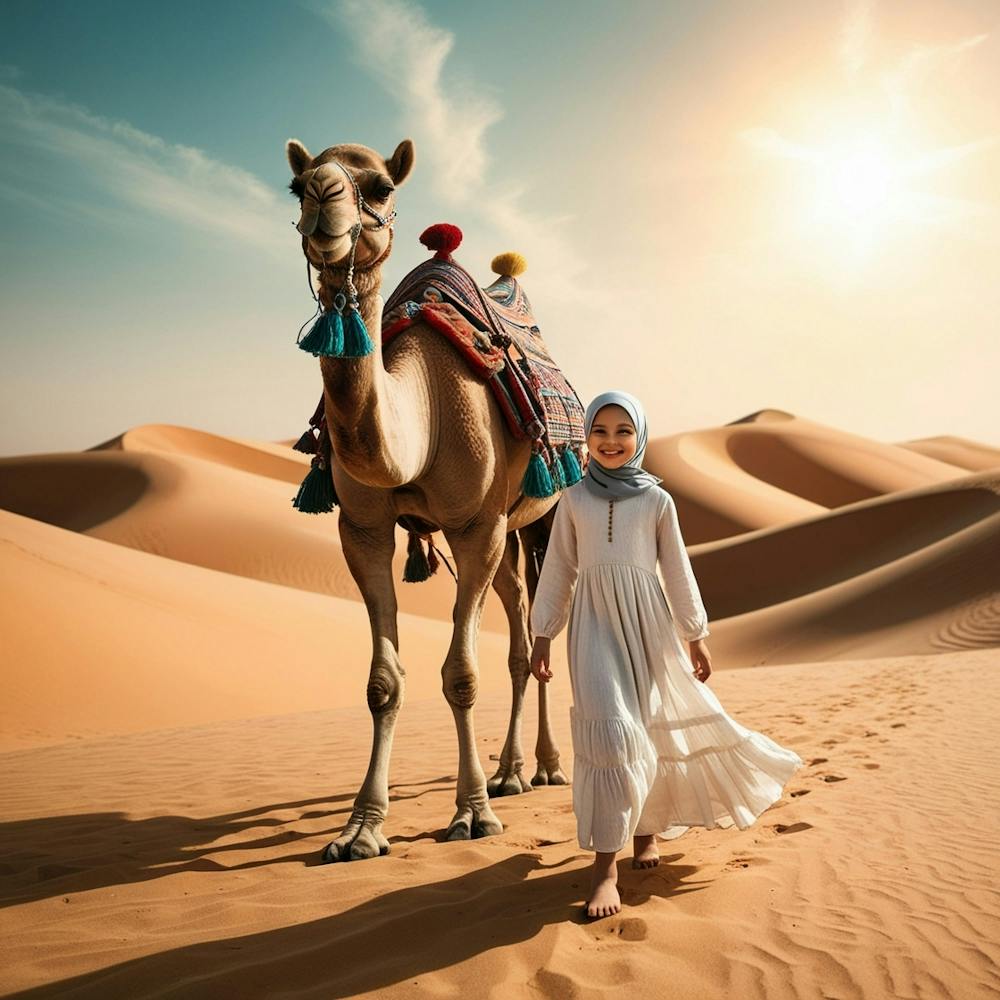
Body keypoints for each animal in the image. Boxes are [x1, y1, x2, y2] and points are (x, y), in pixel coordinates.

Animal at [285, 137, 569, 861]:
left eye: (381, 186)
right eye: (296, 183)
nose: (324, 196)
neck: (424, 412)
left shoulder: (475, 527)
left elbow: (461, 674)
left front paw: (470, 816)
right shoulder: (362, 531)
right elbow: (383, 682)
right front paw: (360, 829)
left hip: (542, 519)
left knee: (544, 634)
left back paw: (547, 767)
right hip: (505, 534)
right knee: (519, 633)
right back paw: (509, 772)